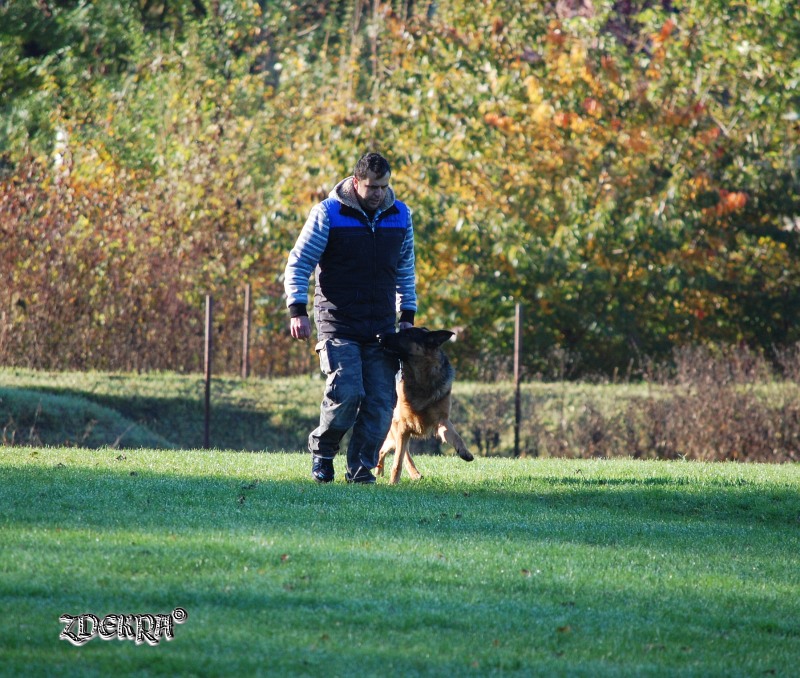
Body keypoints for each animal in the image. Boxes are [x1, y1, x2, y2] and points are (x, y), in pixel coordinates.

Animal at [376, 328, 472, 484]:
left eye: (406, 334)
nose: (378, 336)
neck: (421, 380)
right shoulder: (403, 426)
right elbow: (398, 460)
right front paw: (393, 482)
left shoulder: (442, 421)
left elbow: (456, 436)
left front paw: (464, 451)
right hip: (397, 429)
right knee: (401, 454)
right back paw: (412, 473)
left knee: (384, 449)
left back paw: (382, 472)